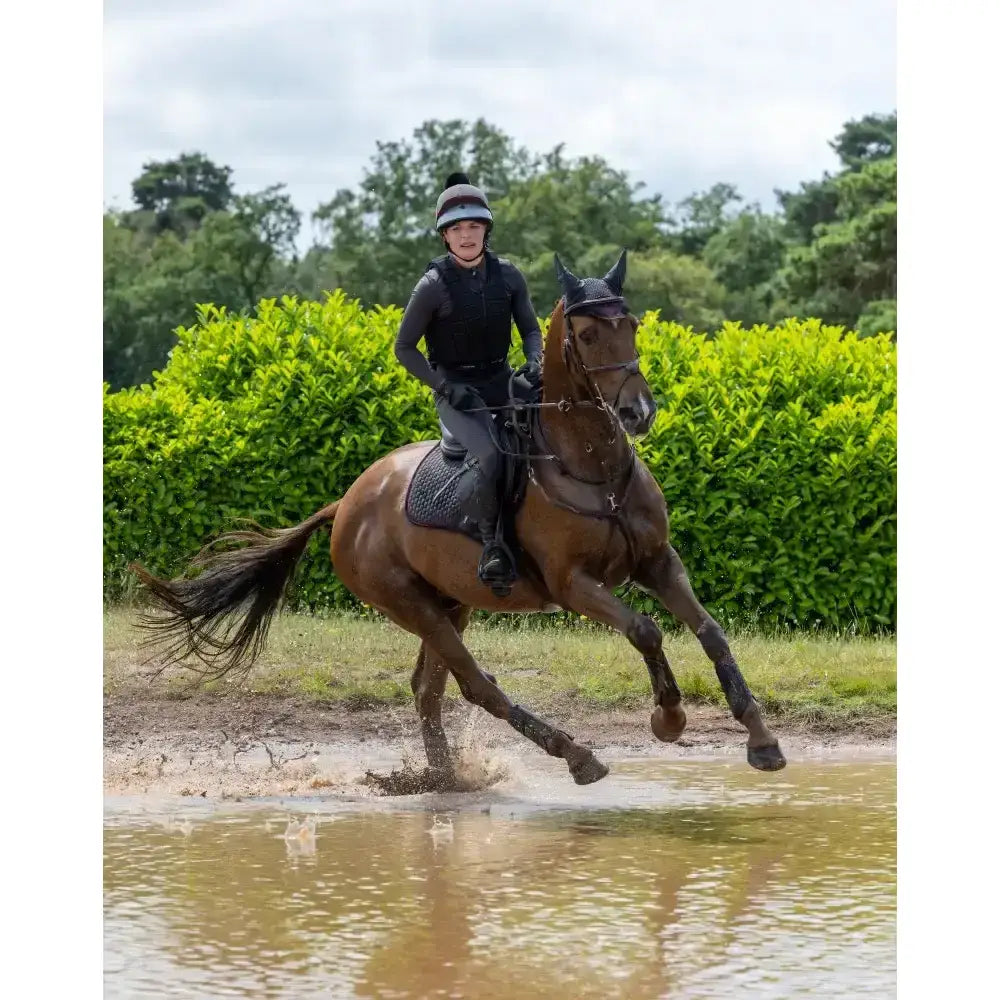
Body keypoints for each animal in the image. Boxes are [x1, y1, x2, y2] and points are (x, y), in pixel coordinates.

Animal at [132, 251, 786, 787]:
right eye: (587, 333)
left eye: (631, 325)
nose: (638, 412)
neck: (594, 467)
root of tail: (346, 505)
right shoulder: (573, 585)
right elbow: (646, 629)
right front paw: (668, 717)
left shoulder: (656, 561)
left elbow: (710, 631)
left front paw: (762, 741)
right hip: (407, 603)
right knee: (474, 684)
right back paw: (574, 757)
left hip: (452, 601)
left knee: (430, 688)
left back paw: (445, 779)